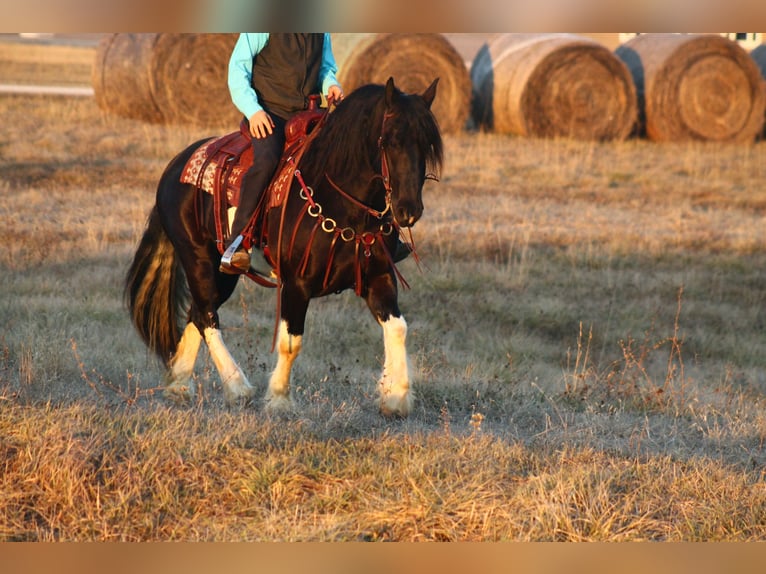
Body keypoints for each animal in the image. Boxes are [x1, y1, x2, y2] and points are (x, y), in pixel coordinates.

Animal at [125, 77, 444, 418]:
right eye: (390, 141)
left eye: (428, 145)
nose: (409, 210)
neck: (339, 200)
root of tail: (175, 165)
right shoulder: (296, 284)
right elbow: (291, 342)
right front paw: (279, 399)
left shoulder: (379, 276)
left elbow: (398, 328)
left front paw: (396, 396)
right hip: (197, 257)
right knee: (207, 315)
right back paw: (237, 387)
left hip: (223, 272)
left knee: (197, 313)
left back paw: (180, 385)